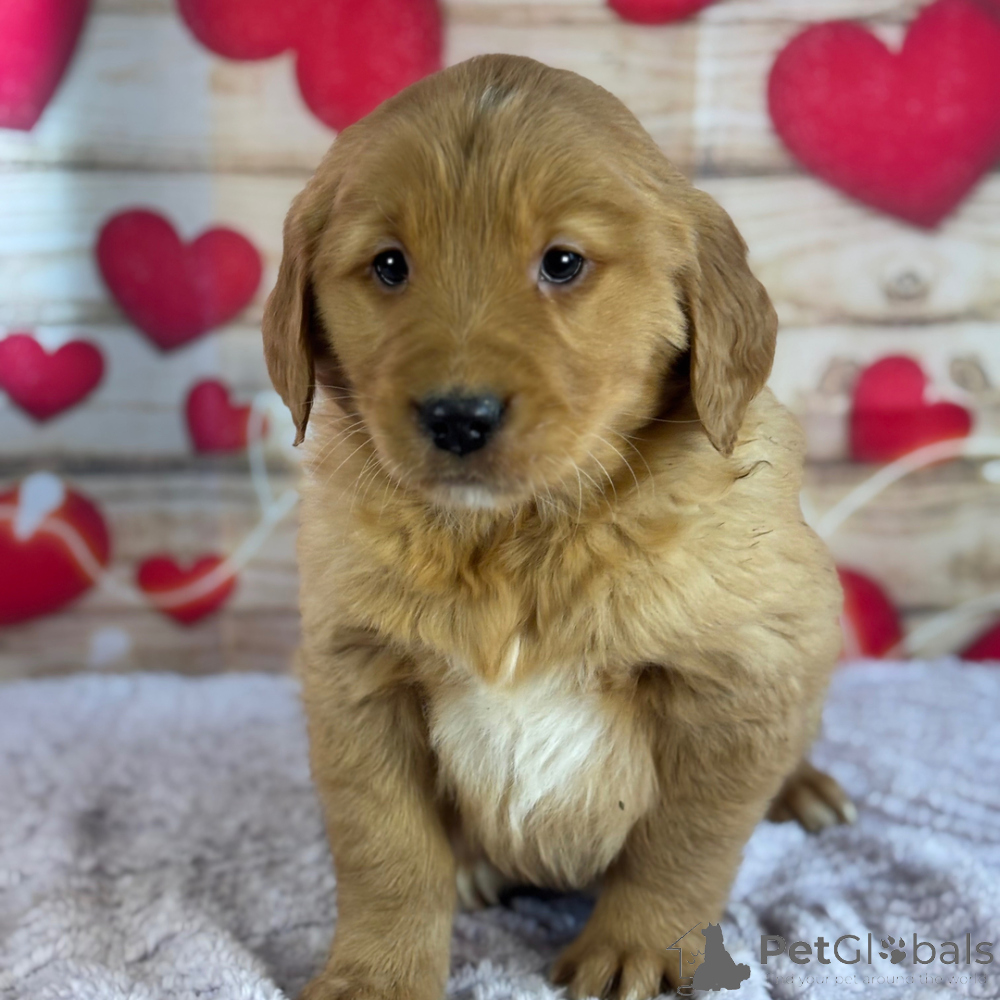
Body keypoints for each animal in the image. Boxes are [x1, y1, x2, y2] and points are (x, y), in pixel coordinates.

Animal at [262, 53, 852, 1000]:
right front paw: (377, 974)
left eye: (564, 262)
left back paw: (805, 790)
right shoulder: (356, 677)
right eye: (389, 266)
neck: (512, 539)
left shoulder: (739, 679)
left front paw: (637, 949)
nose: (457, 417)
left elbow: (680, 848)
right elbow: (387, 852)